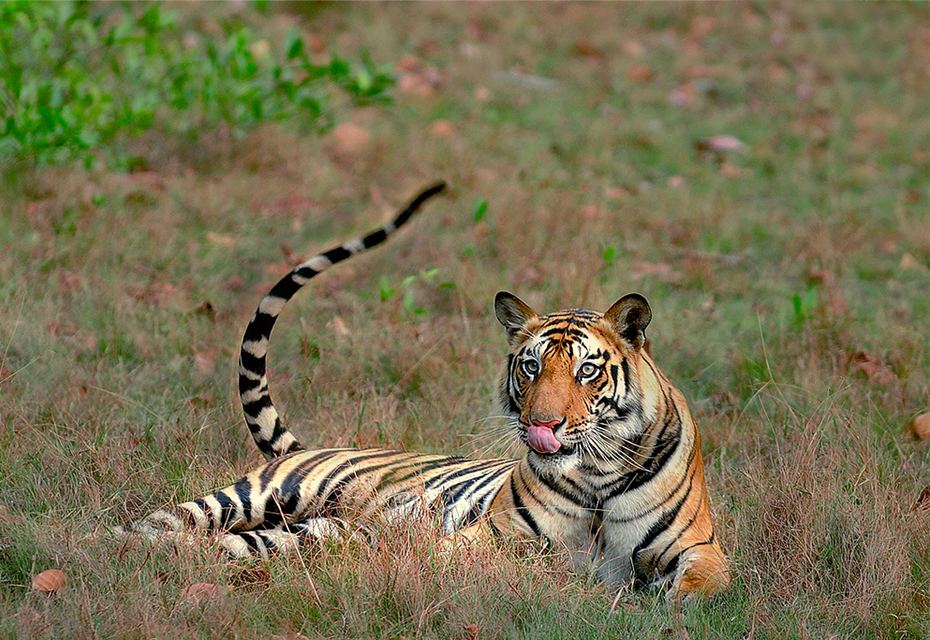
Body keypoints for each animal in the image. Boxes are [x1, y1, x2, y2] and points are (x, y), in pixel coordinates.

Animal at [120, 182, 730, 601]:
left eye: (586, 372)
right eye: (531, 367)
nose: (542, 425)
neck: (597, 476)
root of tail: (306, 446)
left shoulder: (699, 547)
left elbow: (704, 586)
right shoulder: (494, 536)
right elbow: (477, 558)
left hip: (310, 530)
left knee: (245, 546)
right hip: (253, 496)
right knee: (159, 525)